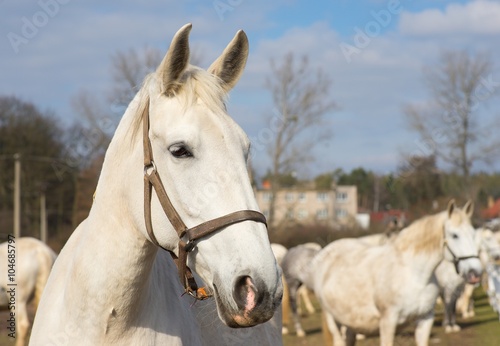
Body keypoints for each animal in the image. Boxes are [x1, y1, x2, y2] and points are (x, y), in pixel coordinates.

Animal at [314, 200, 482, 346]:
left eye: (474, 234)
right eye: (454, 235)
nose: (476, 272)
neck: (414, 274)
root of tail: (325, 253)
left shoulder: (425, 320)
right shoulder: (388, 322)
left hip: (350, 322)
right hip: (333, 320)